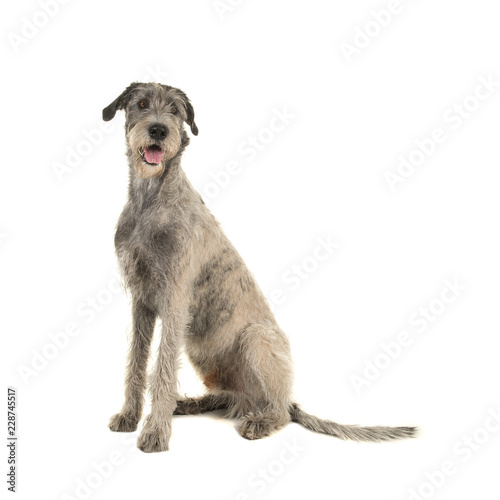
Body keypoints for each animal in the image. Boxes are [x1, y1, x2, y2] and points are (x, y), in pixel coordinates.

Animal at [103, 83, 416, 454]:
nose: (158, 131)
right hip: (204, 354)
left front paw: (155, 432)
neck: (151, 199)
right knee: (229, 396)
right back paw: (193, 403)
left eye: (176, 110)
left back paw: (259, 422)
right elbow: (136, 362)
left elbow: (162, 369)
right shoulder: (141, 302)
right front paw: (129, 416)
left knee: (278, 411)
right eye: (141, 104)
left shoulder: (175, 302)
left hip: (256, 338)